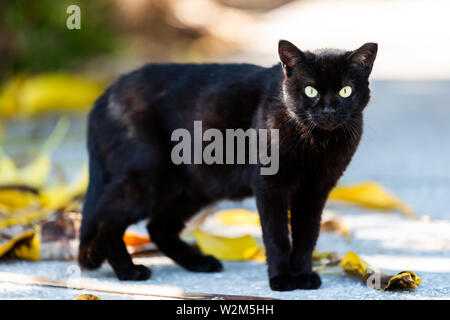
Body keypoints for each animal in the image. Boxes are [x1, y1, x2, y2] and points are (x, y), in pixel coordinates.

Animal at [80, 39, 376, 290]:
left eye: (346, 91)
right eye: (310, 90)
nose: (328, 110)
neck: (317, 142)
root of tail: (104, 97)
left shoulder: (315, 191)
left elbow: (307, 236)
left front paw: (303, 275)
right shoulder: (270, 186)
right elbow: (277, 236)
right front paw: (282, 279)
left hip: (193, 187)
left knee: (157, 227)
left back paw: (199, 262)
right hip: (149, 178)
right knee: (107, 216)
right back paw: (127, 270)